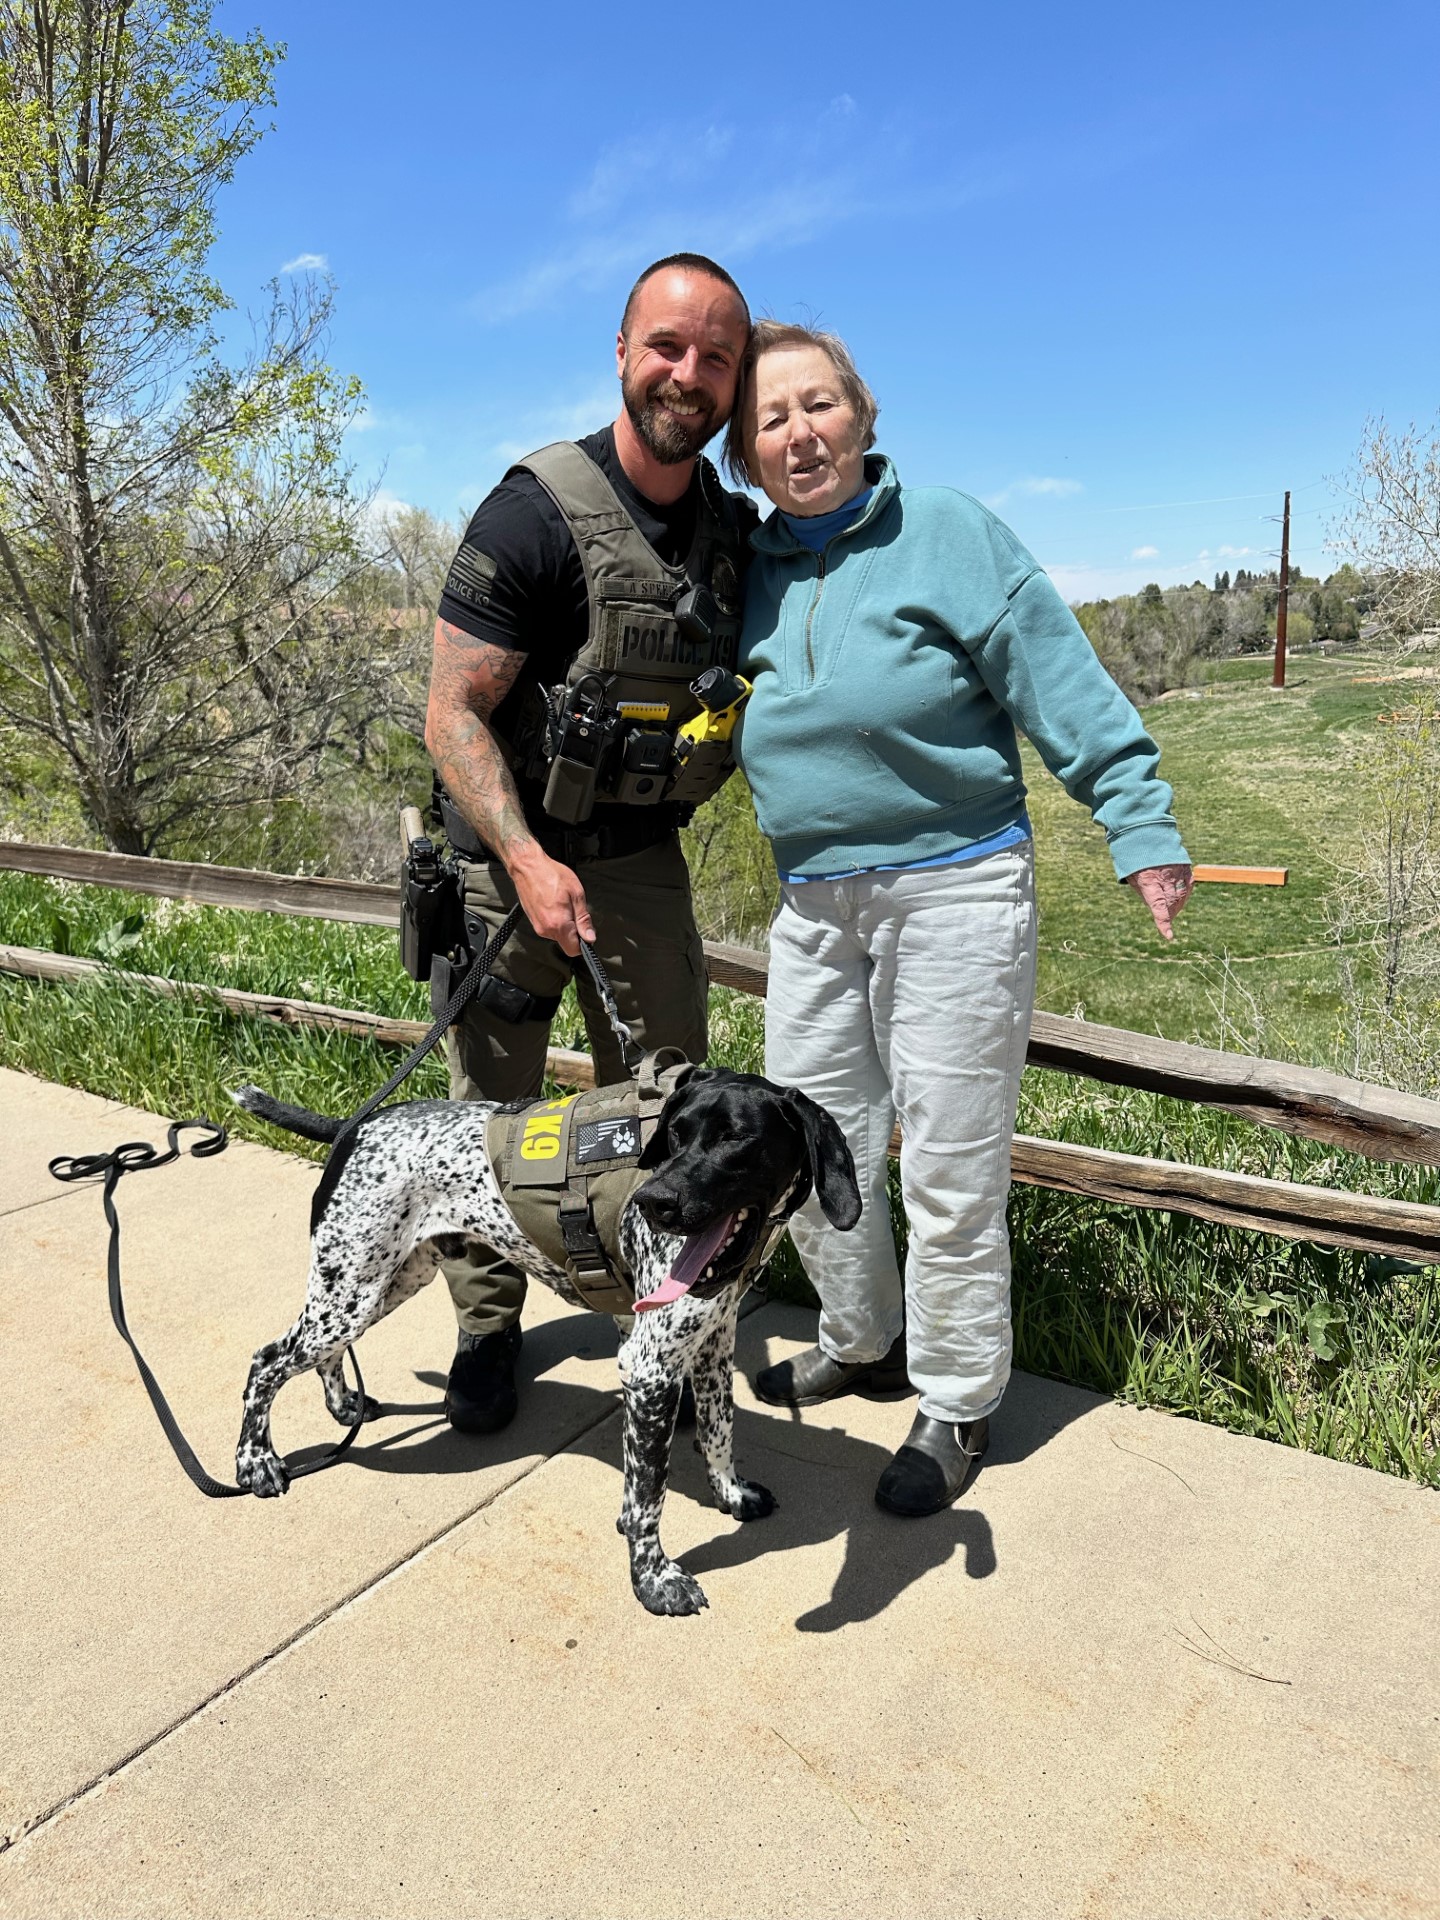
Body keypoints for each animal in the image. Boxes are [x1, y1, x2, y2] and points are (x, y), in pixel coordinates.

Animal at [225, 1075, 856, 1612]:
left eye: (737, 1139)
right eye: (675, 1133)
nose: (653, 1202)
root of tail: (356, 1125)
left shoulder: (713, 1342)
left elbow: (720, 1427)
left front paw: (729, 1494)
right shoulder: (649, 1368)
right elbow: (648, 1496)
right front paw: (653, 1581)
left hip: (379, 1286)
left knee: (315, 1355)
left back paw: (343, 1406)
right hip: (350, 1294)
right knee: (265, 1362)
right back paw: (256, 1462)